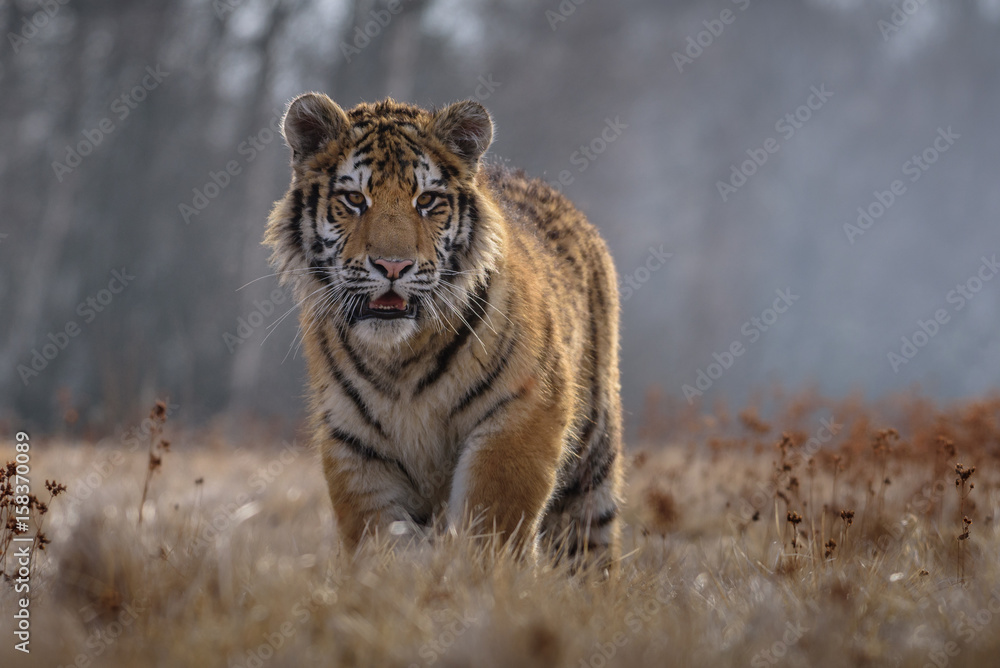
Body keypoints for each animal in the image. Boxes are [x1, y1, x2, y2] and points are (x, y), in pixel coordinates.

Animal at [264, 93, 623, 569]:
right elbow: (380, 543)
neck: (399, 357)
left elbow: (493, 528)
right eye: (355, 198)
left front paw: (482, 581)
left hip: (593, 461)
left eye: (427, 200)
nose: (393, 266)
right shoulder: (355, 442)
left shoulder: (521, 416)